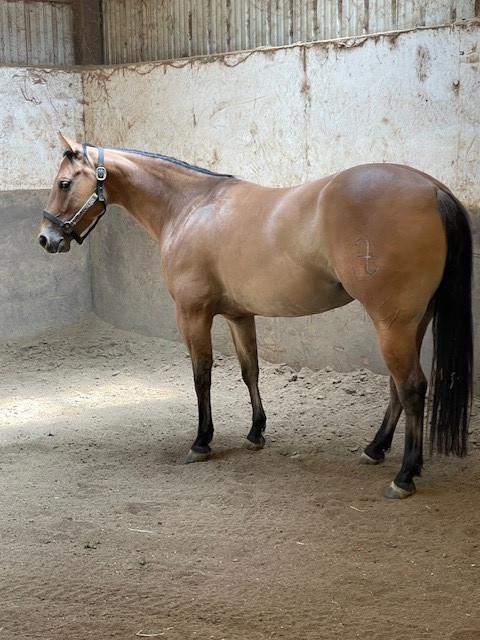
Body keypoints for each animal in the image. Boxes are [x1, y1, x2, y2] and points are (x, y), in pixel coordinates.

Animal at [39, 134, 473, 499]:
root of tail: (432, 188)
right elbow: (251, 371)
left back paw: (405, 475)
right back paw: (375, 448)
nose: (46, 238)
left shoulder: (192, 314)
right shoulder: (238, 315)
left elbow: (201, 374)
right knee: (398, 387)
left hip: (391, 323)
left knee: (412, 387)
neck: (190, 208)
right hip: (410, 323)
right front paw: (255, 433)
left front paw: (202, 441)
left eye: (64, 183)